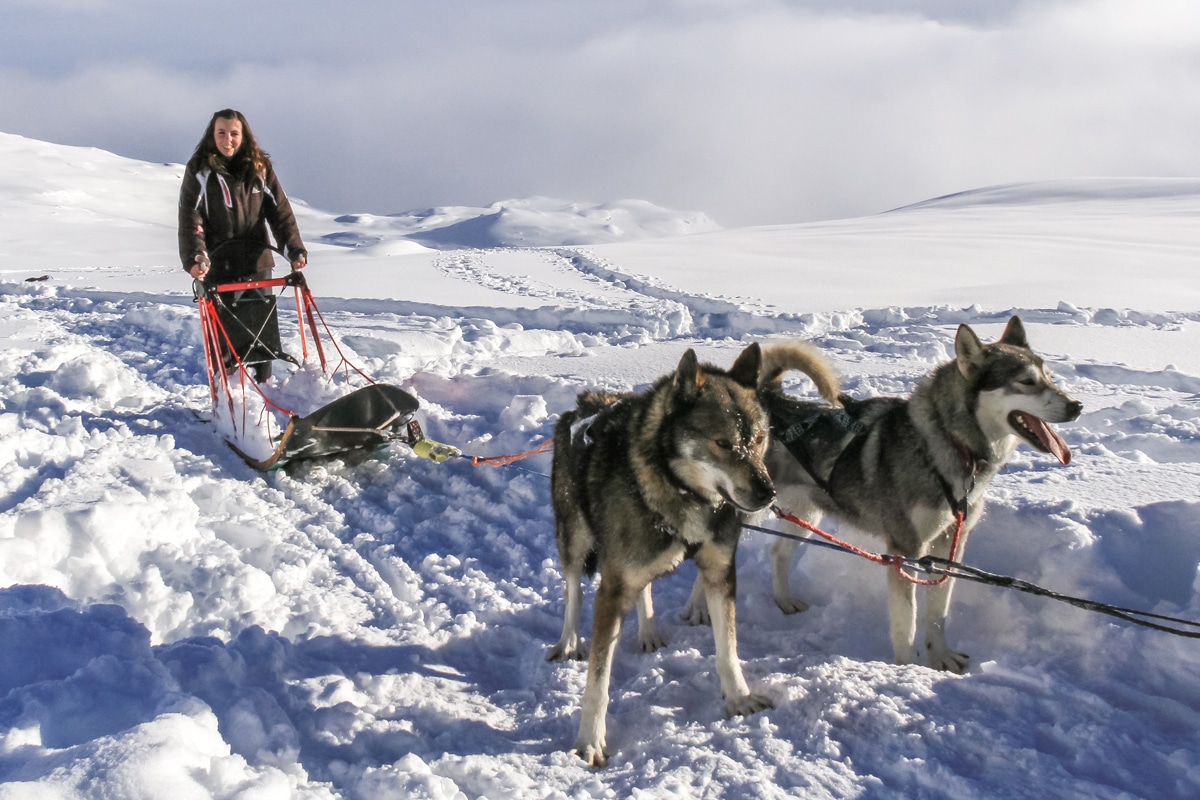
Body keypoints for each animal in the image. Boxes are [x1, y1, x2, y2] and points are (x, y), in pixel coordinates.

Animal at [549, 345, 772, 767]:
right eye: (723, 443)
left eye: (760, 439)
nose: (769, 493)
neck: (680, 490)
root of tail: (585, 402)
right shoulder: (613, 587)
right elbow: (598, 682)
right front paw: (590, 740)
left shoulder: (720, 572)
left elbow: (728, 648)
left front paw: (738, 698)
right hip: (574, 537)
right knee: (573, 590)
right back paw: (568, 641)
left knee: (645, 588)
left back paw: (648, 630)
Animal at [691, 319, 1084, 676]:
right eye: (1027, 382)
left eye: (1050, 377)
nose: (1076, 406)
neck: (949, 446)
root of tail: (769, 400)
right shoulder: (904, 549)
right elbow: (906, 620)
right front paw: (907, 668)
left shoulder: (950, 544)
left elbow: (937, 612)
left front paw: (941, 657)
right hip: (744, 509)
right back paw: (698, 608)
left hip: (807, 513)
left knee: (778, 553)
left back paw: (784, 600)